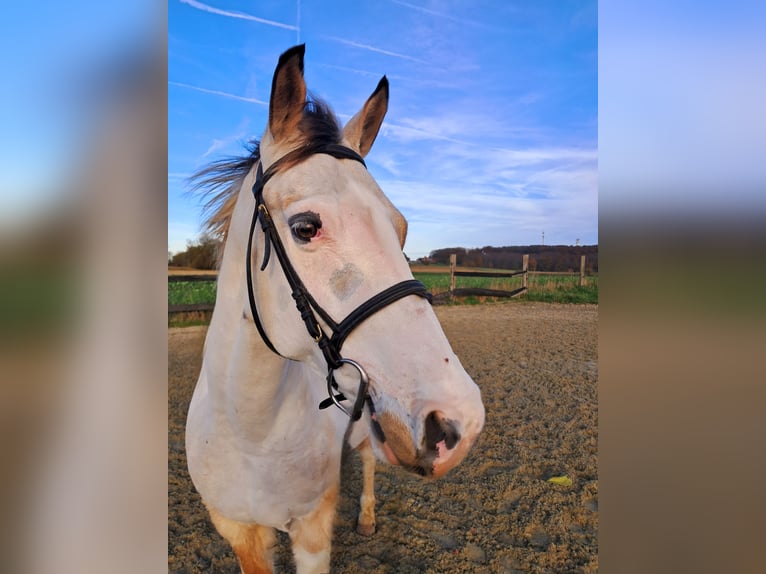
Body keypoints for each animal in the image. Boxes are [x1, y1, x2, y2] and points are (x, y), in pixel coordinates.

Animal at [185, 44, 485, 574]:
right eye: (306, 227)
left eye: (401, 228)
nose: (458, 422)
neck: (249, 435)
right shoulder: (239, 534)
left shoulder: (312, 531)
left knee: (365, 462)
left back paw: (365, 517)